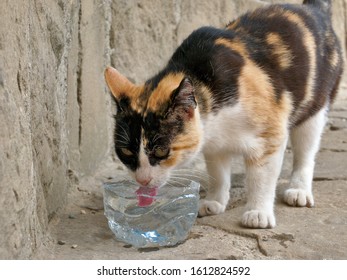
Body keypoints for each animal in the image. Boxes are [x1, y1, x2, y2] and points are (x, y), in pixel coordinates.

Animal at [104, 0, 344, 229]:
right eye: (125, 151)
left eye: (162, 151)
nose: (142, 180)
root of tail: (313, 10)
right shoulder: (214, 145)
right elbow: (218, 173)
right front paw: (214, 202)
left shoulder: (270, 134)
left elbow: (262, 178)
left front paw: (258, 213)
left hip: (316, 107)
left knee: (306, 151)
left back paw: (299, 190)